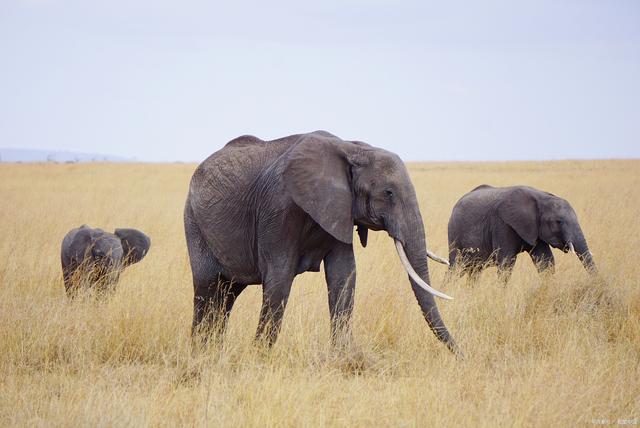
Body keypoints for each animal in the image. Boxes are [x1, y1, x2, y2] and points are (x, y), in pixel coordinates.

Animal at [185, 131, 460, 354]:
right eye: (388, 193)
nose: (462, 354)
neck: (352, 148)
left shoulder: (339, 209)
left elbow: (344, 275)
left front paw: (344, 357)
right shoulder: (278, 208)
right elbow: (280, 277)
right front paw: (258, 356)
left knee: (227, 294)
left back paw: (213, 350)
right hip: (194, 222)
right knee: (207, 289)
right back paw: (200, 353)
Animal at [448, 182, 596, 282]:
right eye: (558, 222)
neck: (541, 197)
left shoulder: (534, 228)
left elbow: (546, 261)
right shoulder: (502, 224)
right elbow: (506, 262)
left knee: (474, 270)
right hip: (454, 233)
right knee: (456, 267)